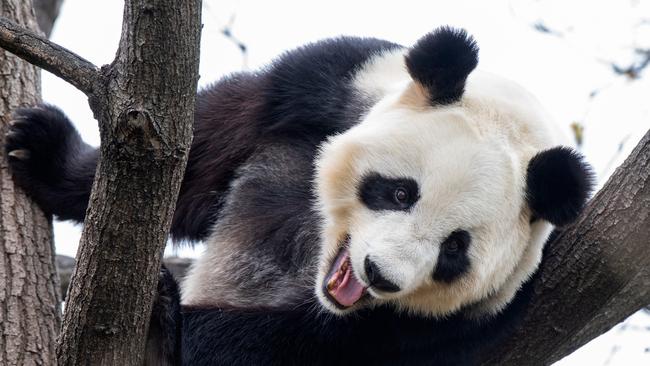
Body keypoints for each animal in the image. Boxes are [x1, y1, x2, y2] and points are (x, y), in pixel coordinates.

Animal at [6, 27, 592, 364]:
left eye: (455, 249)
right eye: (400, 192)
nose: (380, 275)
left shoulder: (466, 323)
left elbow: (278, 348)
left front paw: (170, 323)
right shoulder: (325, 87)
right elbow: (194, 148)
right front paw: (42, 153)